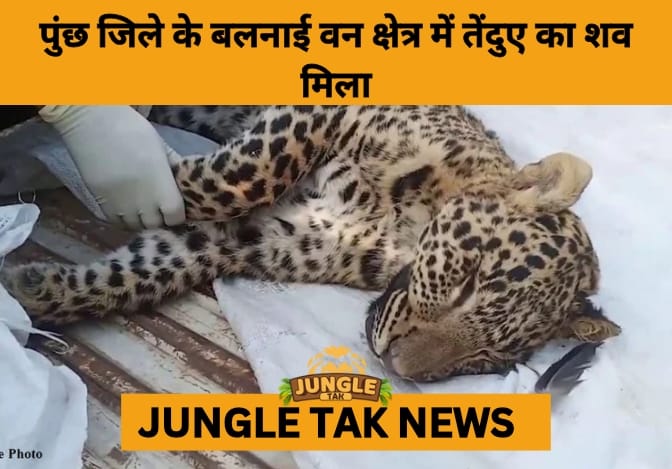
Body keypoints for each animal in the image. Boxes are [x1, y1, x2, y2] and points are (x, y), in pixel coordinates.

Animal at [1, 105, 622, 382]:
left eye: (487, 361)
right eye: (468, 281)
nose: (397, 366)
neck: (402, 231)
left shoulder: (265, 239)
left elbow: (153, 265)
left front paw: (33, 291)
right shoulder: (320, 111)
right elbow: (243, 175)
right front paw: (138, 163)